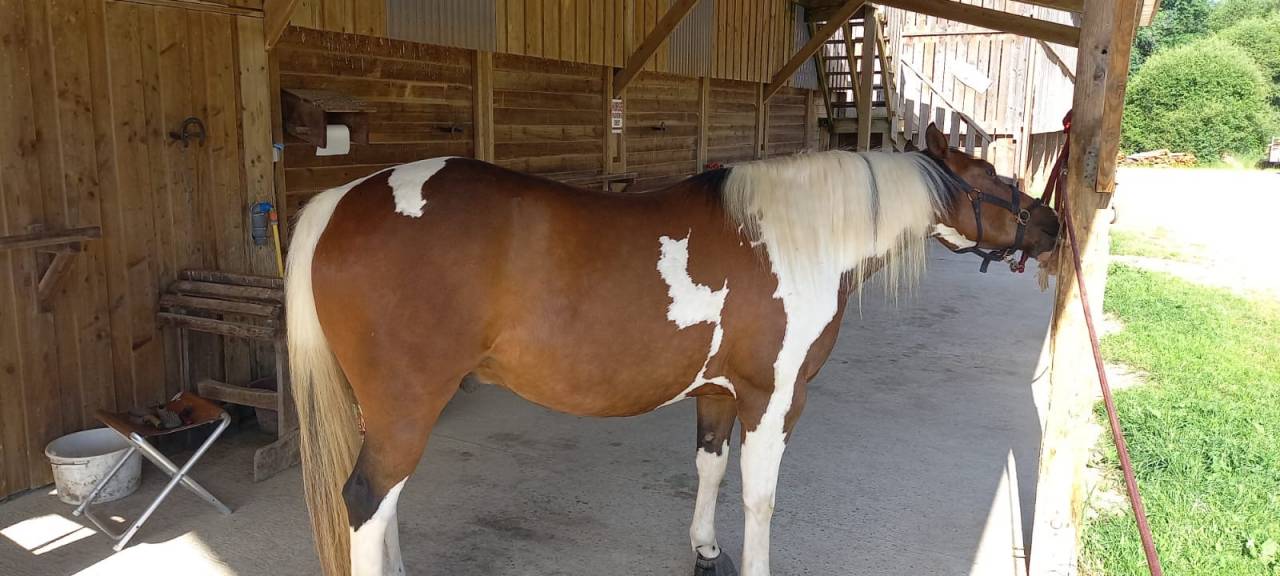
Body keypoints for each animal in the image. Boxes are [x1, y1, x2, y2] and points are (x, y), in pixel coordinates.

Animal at [285, 123, 1060, 576]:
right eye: (997, 177)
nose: (1053, 224)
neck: (794, 239)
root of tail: (340, 201)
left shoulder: (718, 392)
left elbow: (710, 469)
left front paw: (706, 549)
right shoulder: (775, 399)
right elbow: (760, 496)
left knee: (381, 506)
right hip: (408, 406)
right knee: (366, 499)